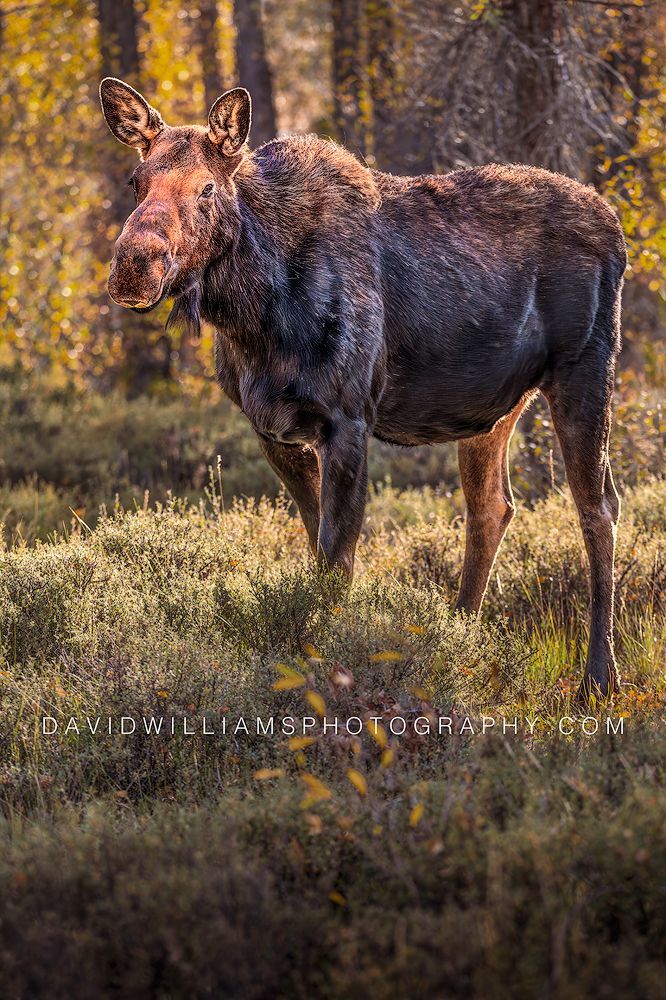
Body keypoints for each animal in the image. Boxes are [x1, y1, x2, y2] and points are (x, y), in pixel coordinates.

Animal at [99, 79, 627, 699]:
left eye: (207, 187)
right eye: (135, 181)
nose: (134, 266)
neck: (253, 312)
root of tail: (618, 232)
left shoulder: (347, 420)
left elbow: (337, 560)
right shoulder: (273, 430)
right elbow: (316, 550)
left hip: (585, 370)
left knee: (599, 508)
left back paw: (599, 677)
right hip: (493, 408)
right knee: (492, 508)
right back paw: (458, 641)